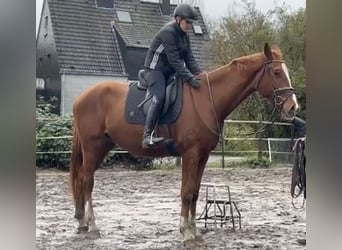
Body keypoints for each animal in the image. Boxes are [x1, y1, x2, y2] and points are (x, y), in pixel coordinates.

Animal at [69, 43, 296, 240]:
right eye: (276, 72)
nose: (293, 107)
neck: (206, 99)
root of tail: (81, 97)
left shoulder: (203, 156)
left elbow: (195, 192)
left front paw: (193, 229)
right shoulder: (190, 154)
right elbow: (186, 192)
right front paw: (185, 232)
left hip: (102, 147)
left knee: (81, 180)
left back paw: (82, 222)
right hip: (93, 147)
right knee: (86, 181)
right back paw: (92, 225)